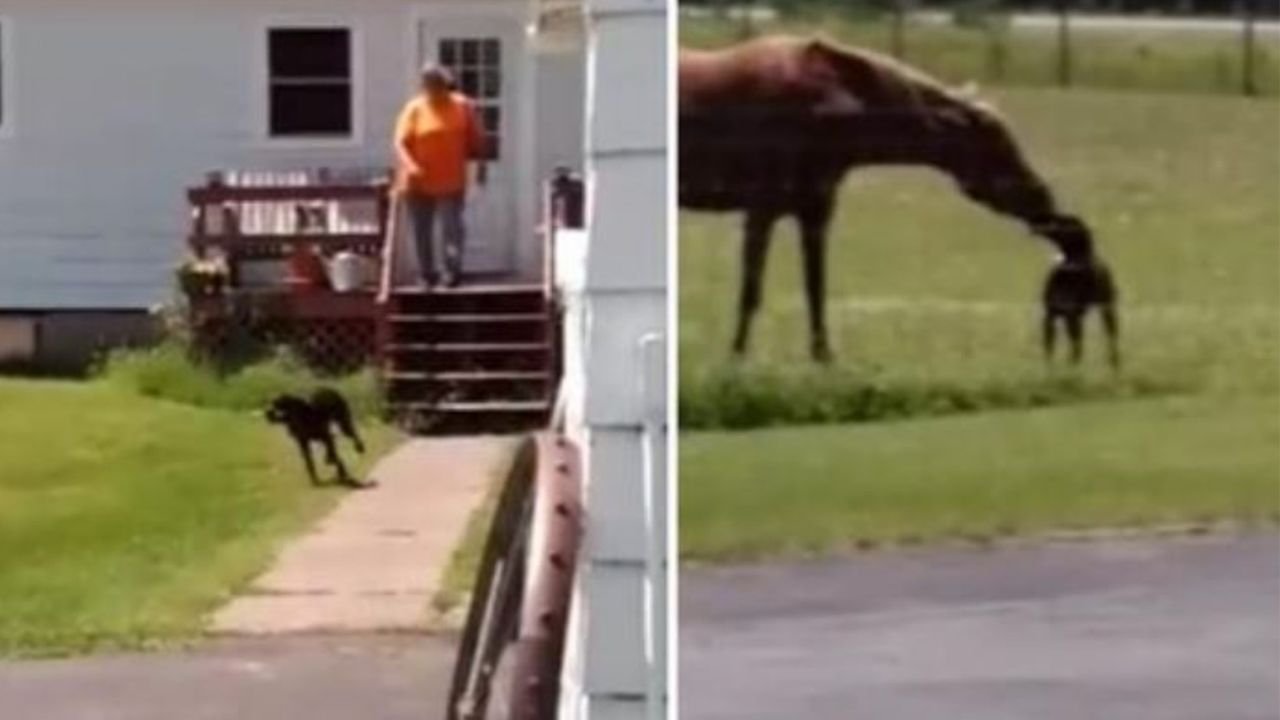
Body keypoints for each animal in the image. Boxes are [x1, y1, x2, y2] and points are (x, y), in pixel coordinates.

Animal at [680, 35, 1100, 358]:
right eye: (996, 147)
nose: (1044, 200)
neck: (825, 106)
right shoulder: (761, 209)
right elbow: (751, 293)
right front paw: (736, 362)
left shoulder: (815, 210)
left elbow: (815, 289)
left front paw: (824, 359)